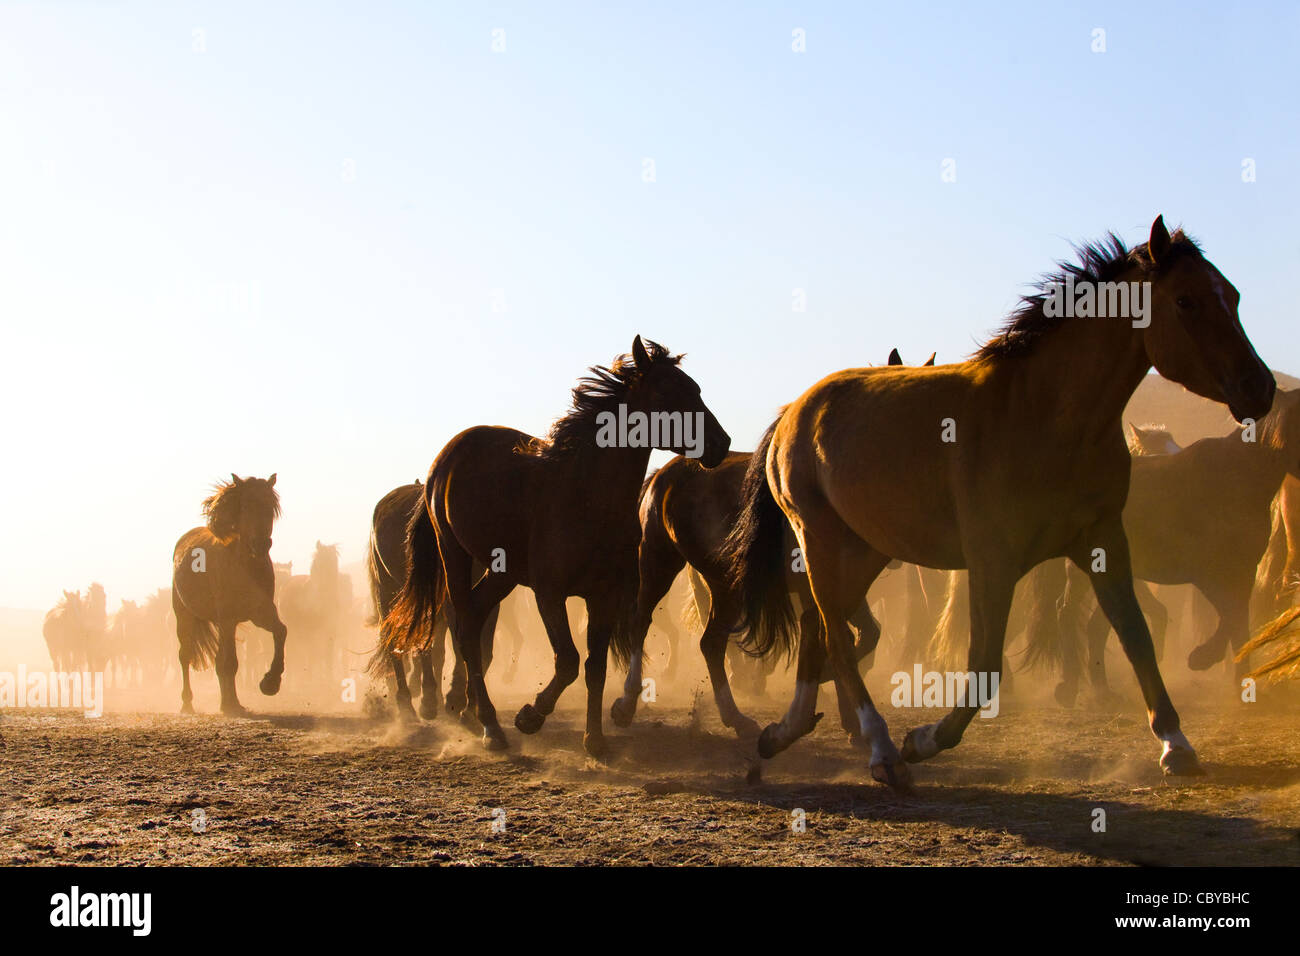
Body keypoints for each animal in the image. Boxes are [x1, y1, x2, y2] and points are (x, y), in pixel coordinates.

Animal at [171, 474, 288, 715]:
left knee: (218, 659)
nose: (261, 544)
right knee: (185, 656)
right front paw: (230, 705)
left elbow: (281, 631)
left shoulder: (260, 613)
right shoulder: (227, 618)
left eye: (270, 507)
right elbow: (230, 663)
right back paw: (187, 703)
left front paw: (270, 683)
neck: (245, 565)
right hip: (184, 616)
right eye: (245, 506)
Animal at [381, 336, 730, 756]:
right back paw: (491, 726)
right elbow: (567, 660)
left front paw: (594, 739)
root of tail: (449, 453)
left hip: (503, 572)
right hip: (454, 554)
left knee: (476, 619)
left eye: (695, 388)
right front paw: (530, 716)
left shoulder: (604, 596)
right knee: (464, 626)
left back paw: (473, 714)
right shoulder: (549, 594)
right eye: (669, 391)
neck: (586, 496)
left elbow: (594, 667)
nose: (722, 443)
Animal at [611, 348, 934, 739]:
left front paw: (846, 712)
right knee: (645, 624)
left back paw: (734, 715)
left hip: (721, 583)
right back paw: (631, 703)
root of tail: (663, 475)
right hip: (661, 563)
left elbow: (863, 634)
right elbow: (843, 637)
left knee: (709, 642)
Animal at [723, 217, 1275, 791]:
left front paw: (1176, 744)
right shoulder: (993, 559)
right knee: (834, 634)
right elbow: (985, 663)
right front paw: (924, 739)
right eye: (1186, 301)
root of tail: (794, 410)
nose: (1260, 389)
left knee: (819, 630)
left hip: (866, 550)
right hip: (824, 543)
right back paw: (882, 749)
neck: (1044, 415)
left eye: (1232, 296)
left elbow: (1136, 636)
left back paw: (782, 732)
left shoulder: (1103, 542)